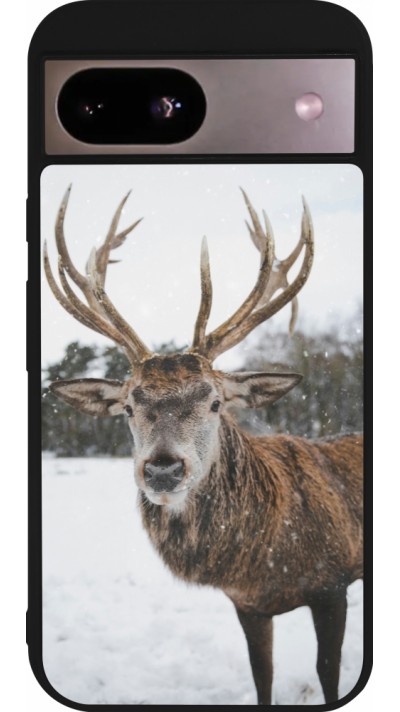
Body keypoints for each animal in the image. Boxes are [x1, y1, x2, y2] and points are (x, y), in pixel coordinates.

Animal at [44, 187, 363, 705]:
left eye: (215, 402)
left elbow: (328, 673)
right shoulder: (248, 604)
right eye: (128, 407)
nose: (163, 470)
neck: (265, 559)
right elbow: (262, 675)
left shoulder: (333, 582)